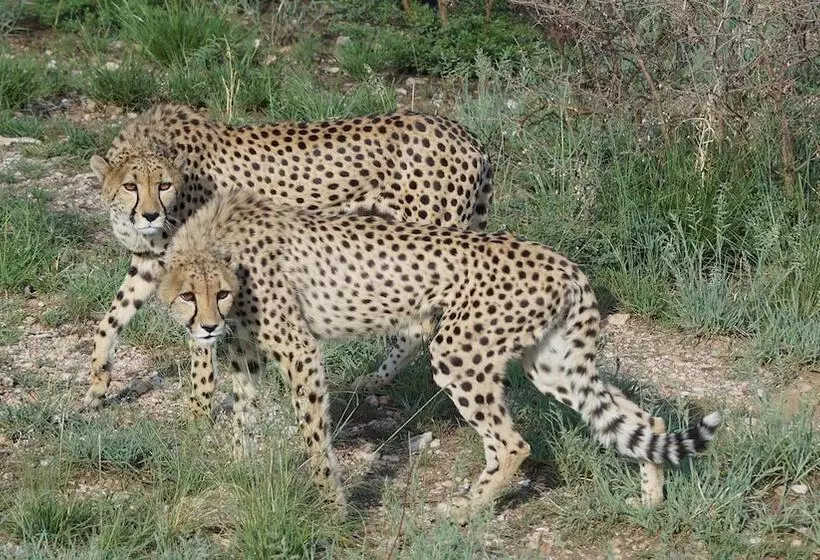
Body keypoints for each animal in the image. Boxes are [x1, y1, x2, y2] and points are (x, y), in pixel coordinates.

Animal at [85, 103, 494, 416]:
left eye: (164, 185)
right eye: (130, 186)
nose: (151, 215)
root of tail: (468, 136)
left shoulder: (198, 267)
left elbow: (200, 345)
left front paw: (198, 411)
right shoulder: (151, 262)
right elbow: (111, 318)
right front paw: (97, 384)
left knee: (421, 325)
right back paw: (374, 380)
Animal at [158, 188, 721, 520]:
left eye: (218, 293)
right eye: (187, 295)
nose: (206, 326)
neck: (218, 241)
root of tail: (563, 262)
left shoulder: (300, 353)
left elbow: (315, 439)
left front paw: (332, 507)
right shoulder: (243, 355)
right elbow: (243, 416)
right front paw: (238, 471)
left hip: (458, 351)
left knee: (512, 443)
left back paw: (466, 512)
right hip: (551, 364)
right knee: (638, 418)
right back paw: (650, 499)